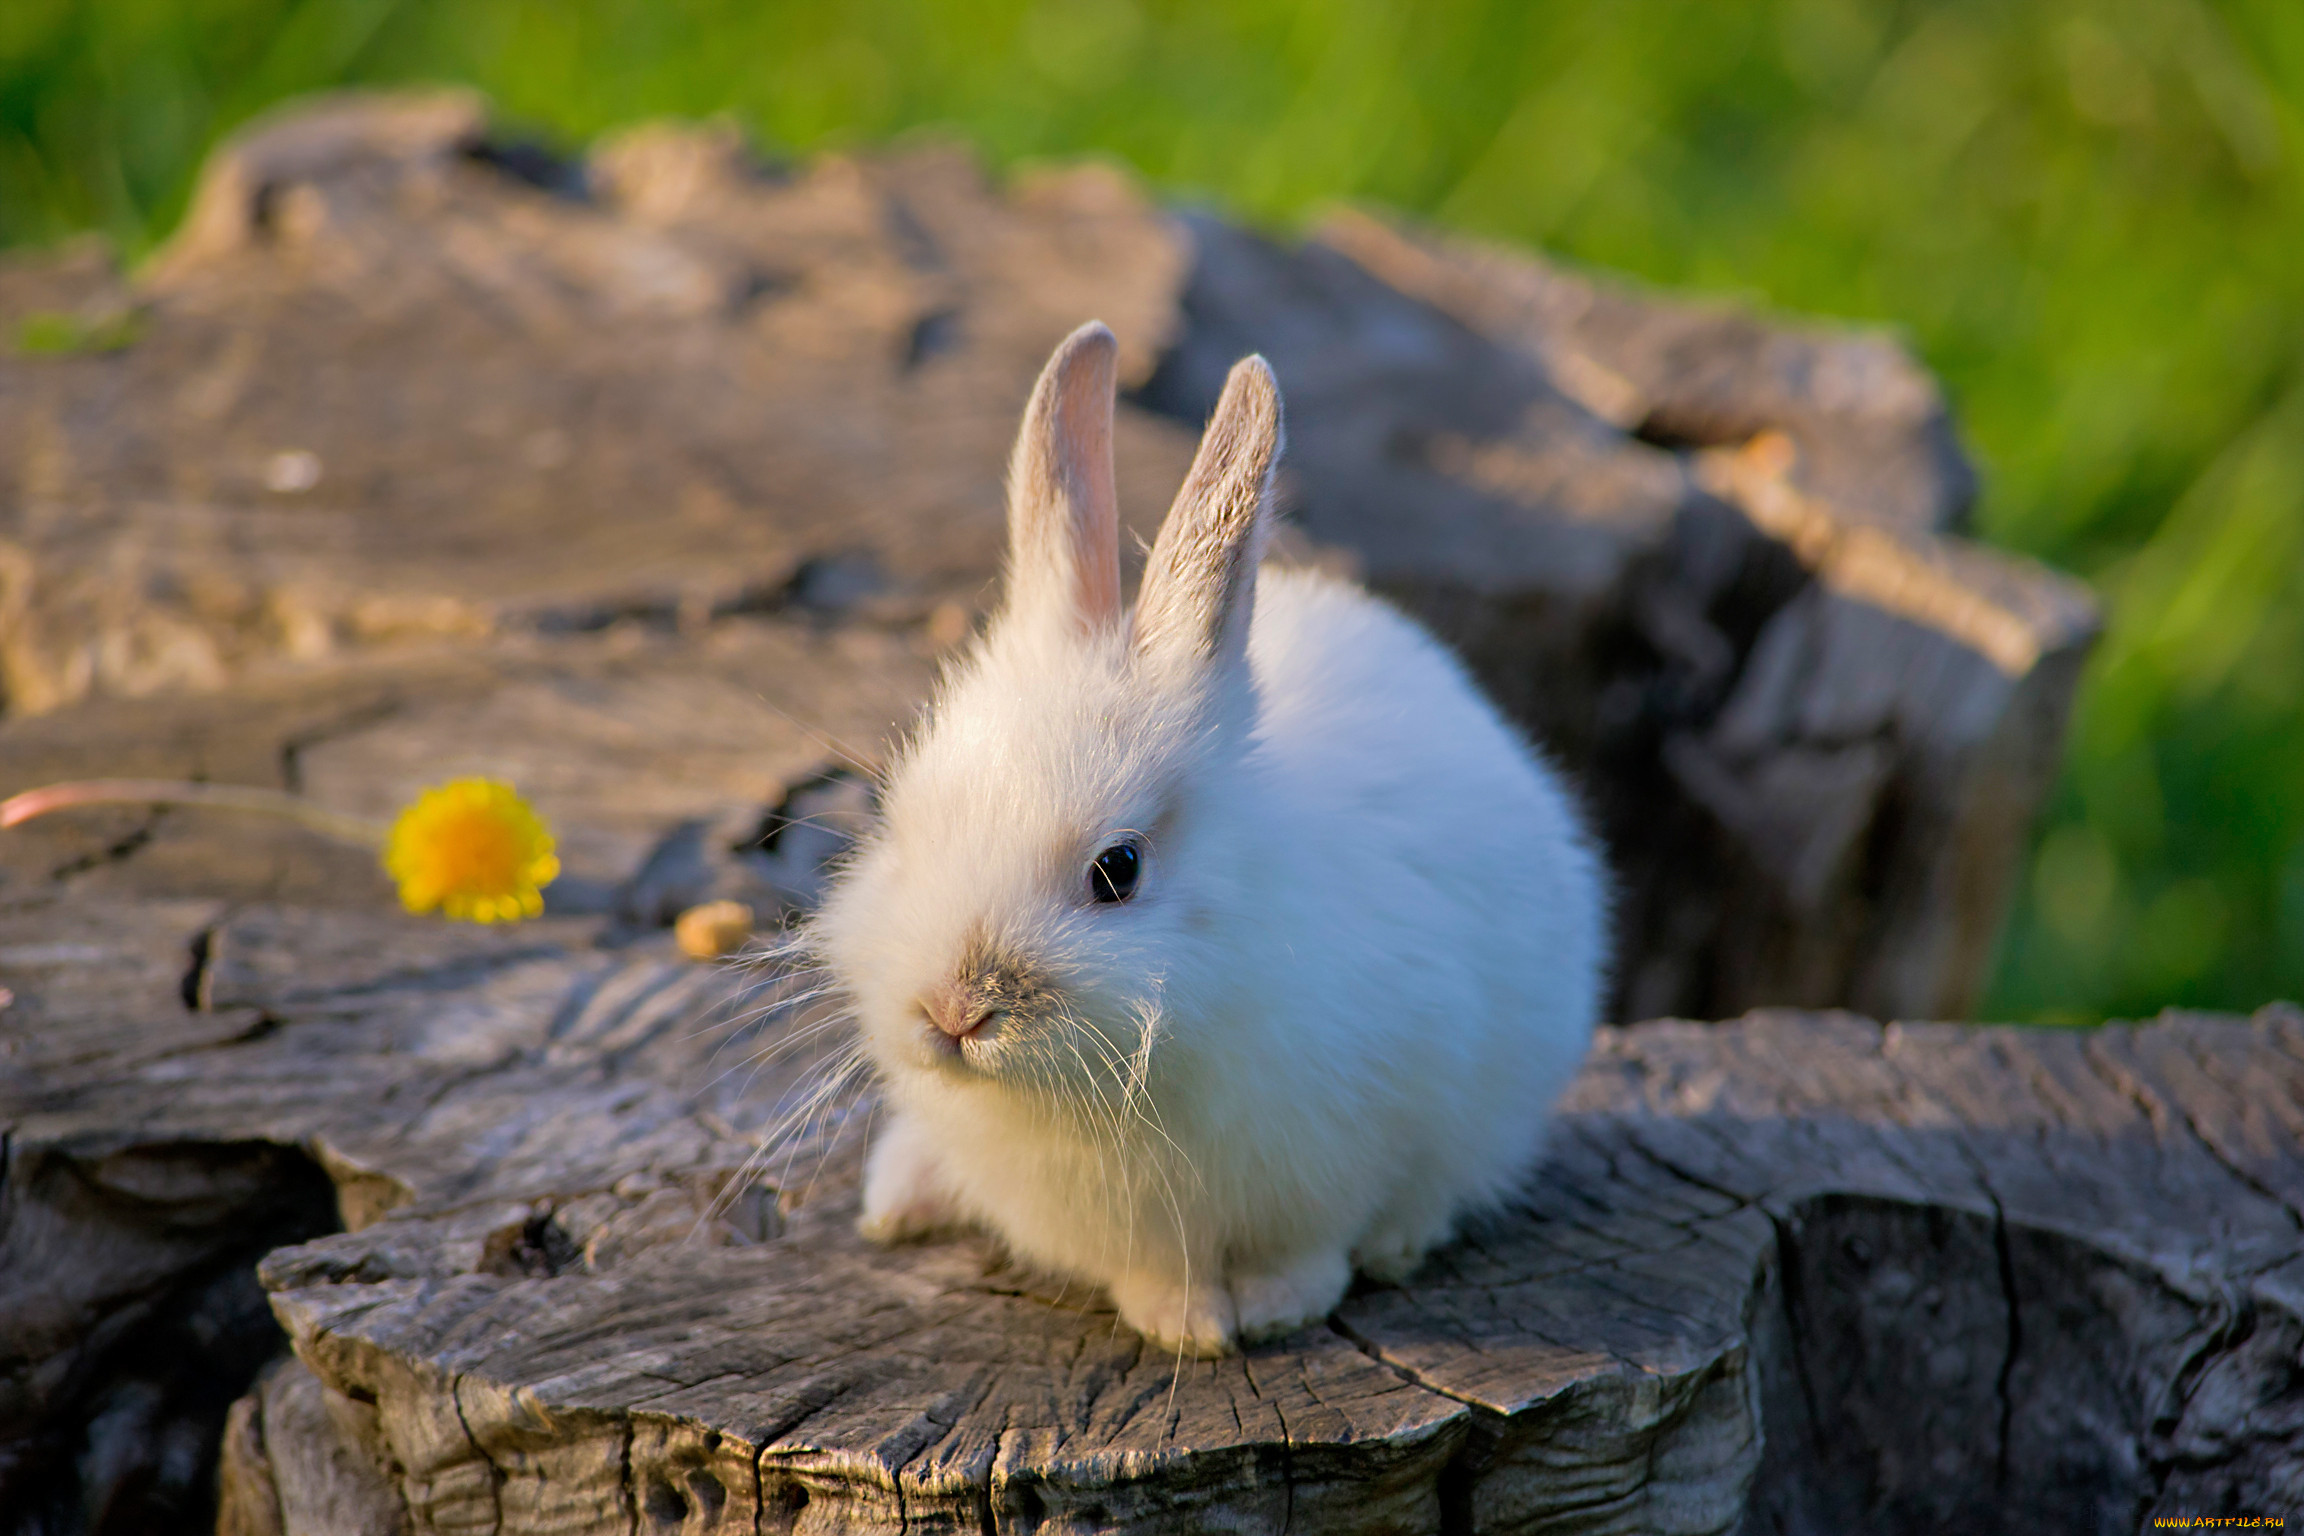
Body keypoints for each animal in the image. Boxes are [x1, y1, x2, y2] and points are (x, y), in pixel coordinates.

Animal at [811, 317, 1603, 1354]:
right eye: (901, 826)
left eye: (1118, 870)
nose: (952, 1012)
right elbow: (1155, 1271)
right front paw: (1183, 1324)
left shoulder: (1346, 1157)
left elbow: (1312, 1248)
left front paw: (1272, 1310)